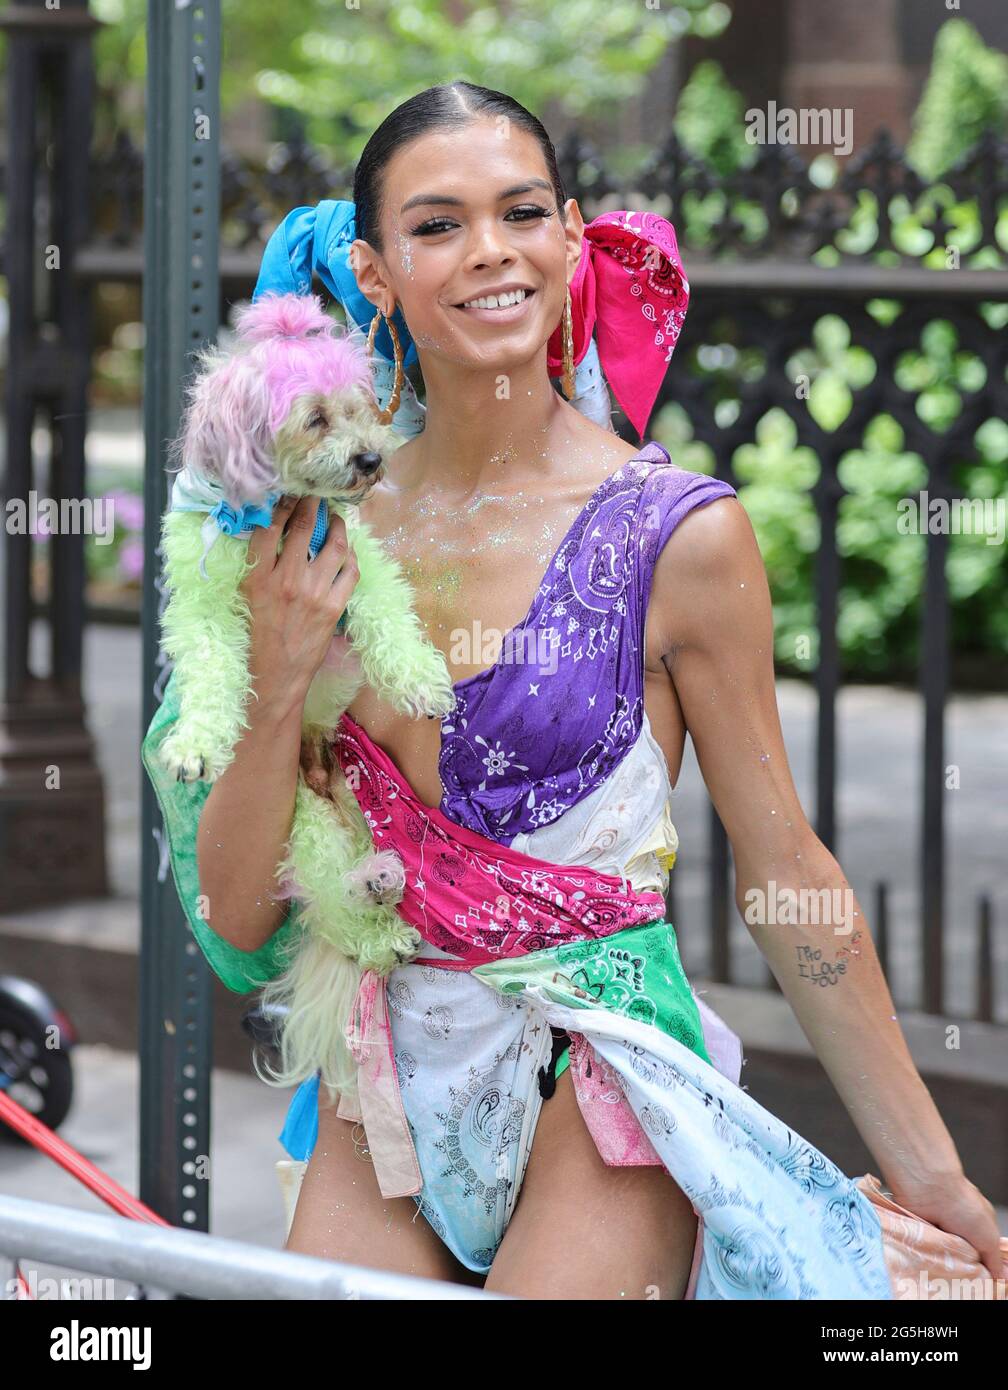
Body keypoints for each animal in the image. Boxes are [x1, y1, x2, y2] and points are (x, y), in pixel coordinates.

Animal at [158, 290, 456, 1084]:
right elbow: (210, 666)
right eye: (316, 417)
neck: (278, 505)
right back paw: (372, 906)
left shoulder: (358, 562)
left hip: (357, 795)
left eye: (360, 410)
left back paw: (383, 882)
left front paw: (420, 681)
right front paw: (196, 746)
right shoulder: (202, 602)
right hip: (302, 816)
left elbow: (387, 614)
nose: (371, 459)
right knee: (331, 903)